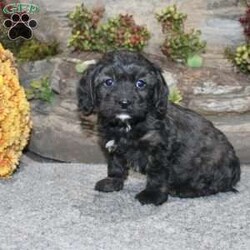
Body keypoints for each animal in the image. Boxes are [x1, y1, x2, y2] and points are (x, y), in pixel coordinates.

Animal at [77, 50, 240, 205]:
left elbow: (157, 174)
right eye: (108, 82)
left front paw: (152, 195)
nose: (124, 102)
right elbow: (115, 164)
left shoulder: (158, 150)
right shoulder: (113, 144)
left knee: (213, 185)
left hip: (212, 164)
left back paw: (184, 189)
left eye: (140, 83)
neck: (128, 125)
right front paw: (113, 182)